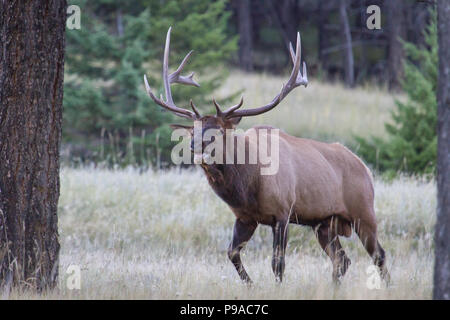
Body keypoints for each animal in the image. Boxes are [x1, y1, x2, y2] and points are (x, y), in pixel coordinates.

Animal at [144, 26, 390, 284]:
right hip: (324, 223)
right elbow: (231, 252)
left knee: (379, 255)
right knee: (342, 259)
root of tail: (366, 168)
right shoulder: (245, 217)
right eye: (193, 129)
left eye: (219, 129)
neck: (248, 185)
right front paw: (250, 284)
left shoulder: (282, 212)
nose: (194, 145)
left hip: (364, 211)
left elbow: (277, 264)